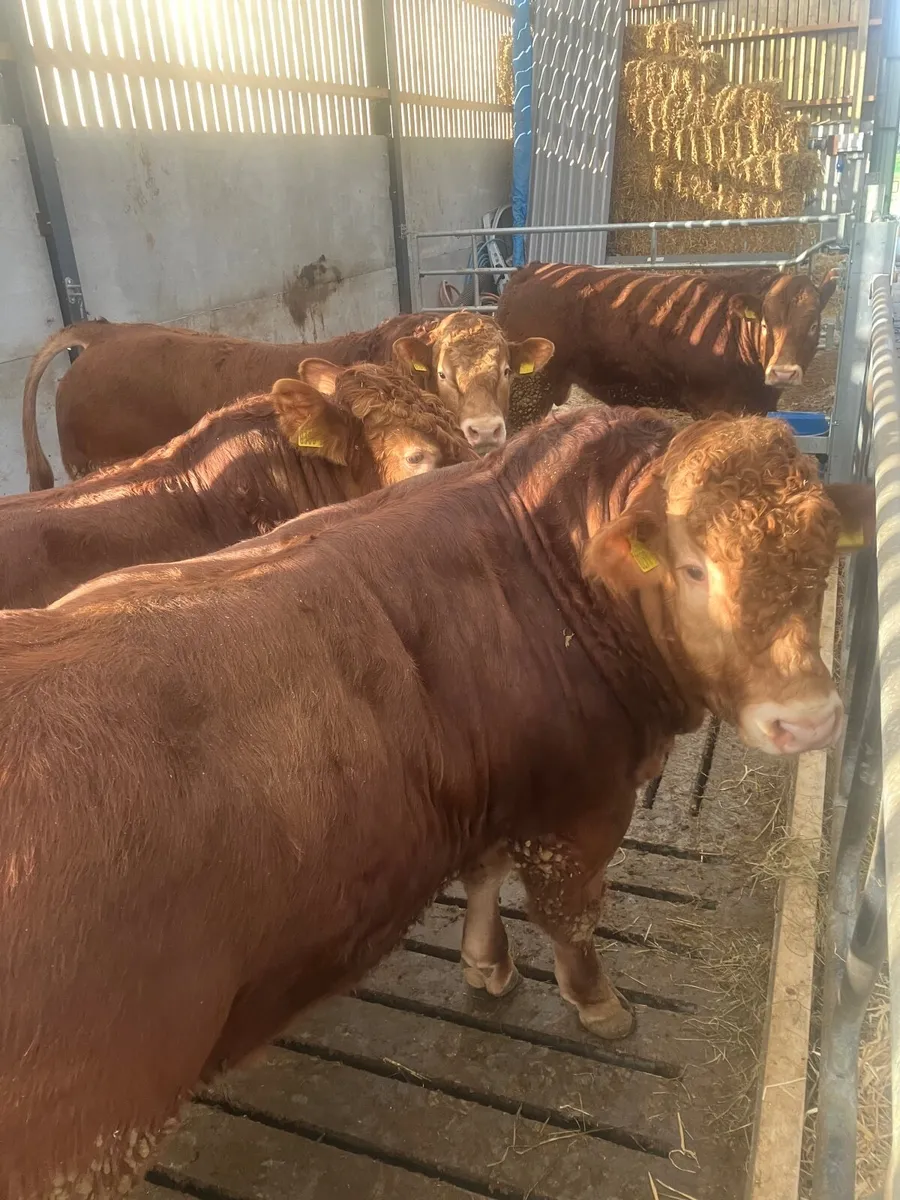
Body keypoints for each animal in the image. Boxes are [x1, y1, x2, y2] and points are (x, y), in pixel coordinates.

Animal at [0, 405, 871, 1200]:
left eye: (824, 553)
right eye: (694, 568)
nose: (808, 719)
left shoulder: (495, 794)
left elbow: (484, 875)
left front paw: (488, 964)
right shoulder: (580, 803)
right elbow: (570, 914)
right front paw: (598, 1004)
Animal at [495, 263, 838, 428]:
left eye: (813, 325)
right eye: (766, 323)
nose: (783, 373)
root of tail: (532, 270)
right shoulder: (715, 407)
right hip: (528, 393)